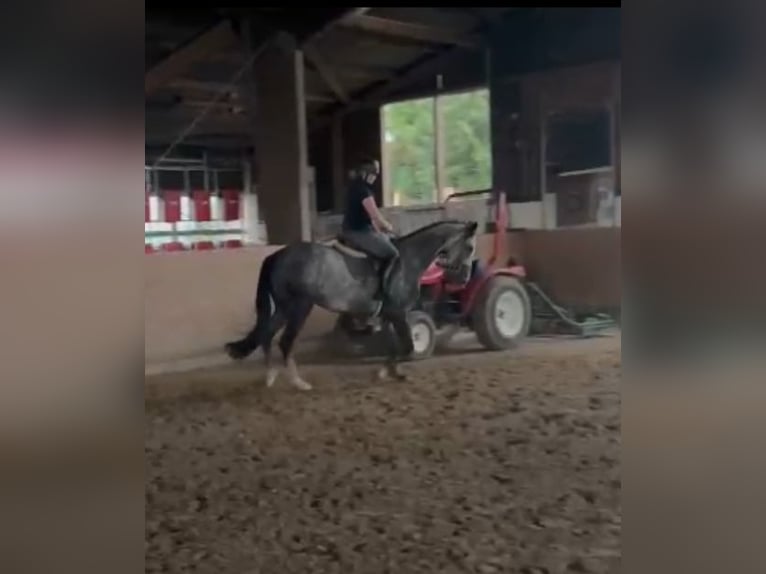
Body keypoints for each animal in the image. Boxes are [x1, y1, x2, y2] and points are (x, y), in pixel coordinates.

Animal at [225, 220, 480, 392]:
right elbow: (407, 344)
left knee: (266, 333)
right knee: (285, 340)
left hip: (283, 307)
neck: (411, 259)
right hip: (299, 306)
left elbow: (392, 346)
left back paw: (269, 377)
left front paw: (391, 373)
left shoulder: (388, 315)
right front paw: (386, 372)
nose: (464, 279)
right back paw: (299, 383)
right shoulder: (399, 312)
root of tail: (277, 256)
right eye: (469, 247)